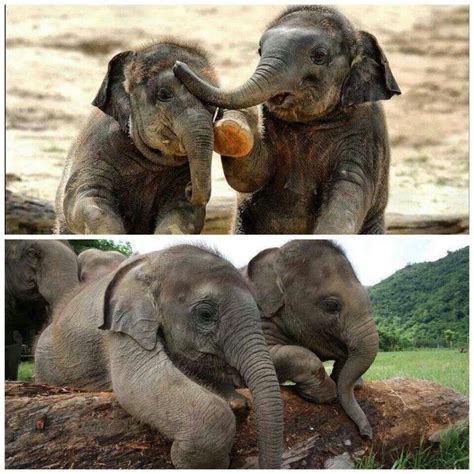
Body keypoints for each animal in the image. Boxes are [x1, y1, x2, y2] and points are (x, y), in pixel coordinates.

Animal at [56, 39, 220, 235]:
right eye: (164, 94)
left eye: (215, 106)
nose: (190, 189)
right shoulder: (95, 151)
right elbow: (85, 198)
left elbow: (183, 213)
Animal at [174, 3, 400, 233]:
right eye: (259, 50)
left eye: (319, 56)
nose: (177, 65)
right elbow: (251, 175)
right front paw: (231, 130)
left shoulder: (365, 136)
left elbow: (348, 193)